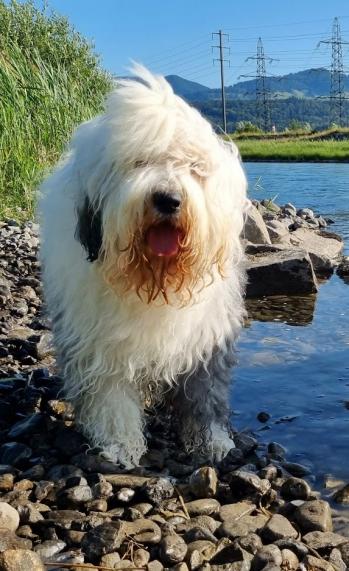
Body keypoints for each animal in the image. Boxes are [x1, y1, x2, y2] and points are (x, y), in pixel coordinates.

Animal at [39, 66, 247, 470]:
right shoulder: (97, 343)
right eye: (138, 163)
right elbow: (110, 396)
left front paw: (212, 443)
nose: (168, 199)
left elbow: (204, 395)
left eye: (192, 167)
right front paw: (120, 445)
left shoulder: (206, 338)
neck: (153, 280)